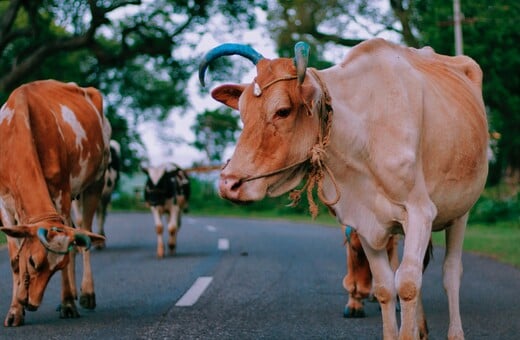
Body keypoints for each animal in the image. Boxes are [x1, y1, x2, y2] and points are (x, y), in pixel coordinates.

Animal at [0, 79, 108, 326]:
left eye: (57, 267)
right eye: (32, 261)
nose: (31, 304)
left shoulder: (62, 195)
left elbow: (72, 248)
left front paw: (68, 303)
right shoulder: (3, 203)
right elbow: (13, 260)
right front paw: (14, 311)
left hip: (96, 183)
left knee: (84, 234)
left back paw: (86, 294)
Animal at [199, 38, 488, 338]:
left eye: (282, 111)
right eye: (242, 113)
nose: (228, 183)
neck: (364, 134)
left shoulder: (420, 212)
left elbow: (407, 284)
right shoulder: (365, 221)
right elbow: (385, 288)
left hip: (460, 211)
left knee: (451, 273)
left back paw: (455, 332)